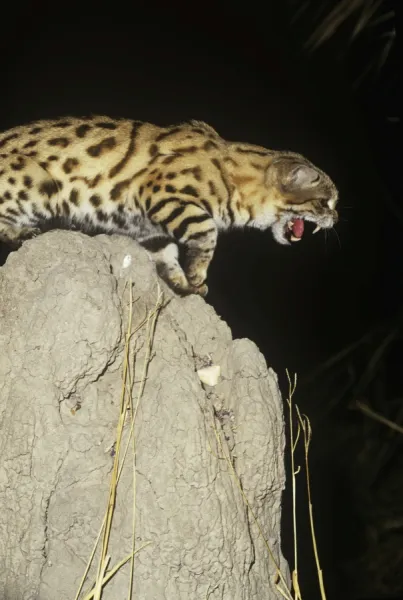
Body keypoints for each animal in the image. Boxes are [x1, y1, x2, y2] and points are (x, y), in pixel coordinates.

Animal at [0, 115, 340, 296]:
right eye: (326, 202)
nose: (337, 218)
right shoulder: (159, 192)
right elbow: (207, 233)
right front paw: (197, 276)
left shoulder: (147, 227)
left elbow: (166, 253)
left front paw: (180, 281)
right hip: (39, 185)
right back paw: (25, 232)